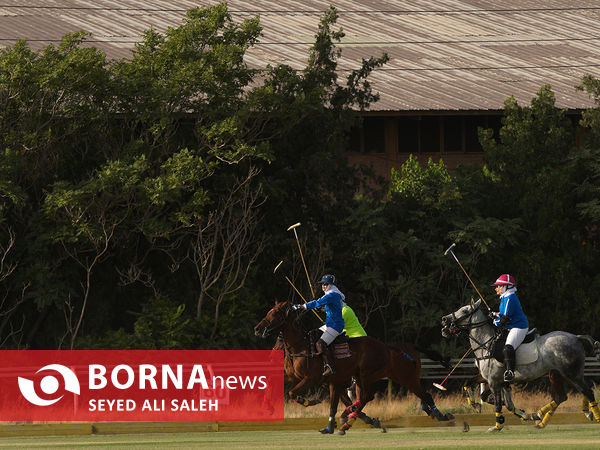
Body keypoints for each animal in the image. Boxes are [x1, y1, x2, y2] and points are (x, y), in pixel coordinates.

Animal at [254, 300, 454, 434]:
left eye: (275, 313)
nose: (257, 329)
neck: (301, 347)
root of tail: (389, 346)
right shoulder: (301, 377)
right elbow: (276, 386)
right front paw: (268, 407)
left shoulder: (313, 378)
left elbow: (294, 393)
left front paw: (313, 404)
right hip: (387, 377)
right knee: (419, 395)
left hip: (384, 376)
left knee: (371, 396)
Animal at [440, 300, 600, 430]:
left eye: (465, 310)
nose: (444, 320)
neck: (486, 344)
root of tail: (576, 337)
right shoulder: (492, 379)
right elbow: (473, 386)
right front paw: (476, 404)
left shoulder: (493, 380)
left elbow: (496, 401)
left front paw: (498, 424)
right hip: (556, 374)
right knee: (563, 396)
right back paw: (539, 418)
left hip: (571, 373)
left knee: (587, 390)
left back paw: (592, 415)